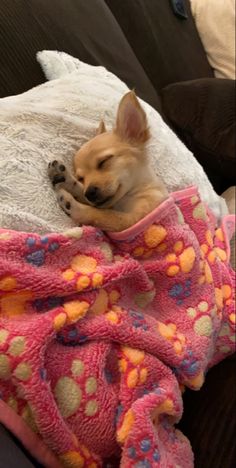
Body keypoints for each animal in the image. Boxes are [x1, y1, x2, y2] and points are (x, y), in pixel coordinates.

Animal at [48, 90, 168, 231]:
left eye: (103, 161)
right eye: (81, 178)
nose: (89, 193)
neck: (127, 196)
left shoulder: (133, 221)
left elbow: (100, 214)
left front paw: (72, 204)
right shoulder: (105, 203)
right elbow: (88, 197)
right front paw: (65, 179)